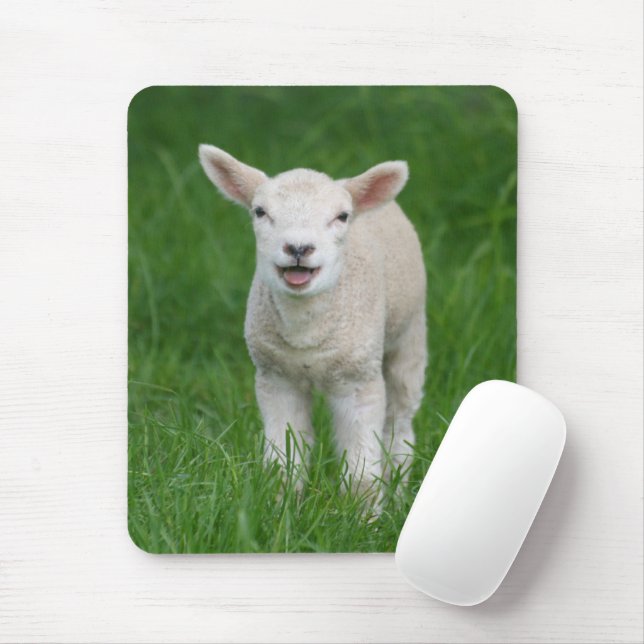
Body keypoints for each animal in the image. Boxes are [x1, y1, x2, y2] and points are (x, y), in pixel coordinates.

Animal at [199, 144, 427, 495]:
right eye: (259, 212)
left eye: (342, 216)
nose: (298, 248)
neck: (304, 332)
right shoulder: (277, 378)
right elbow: (283, 464)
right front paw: (281, 505)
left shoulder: (359, 380)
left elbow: (362, 475)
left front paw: (362, 511)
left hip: (410, 335)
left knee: (400, 424)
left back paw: (399, 489)